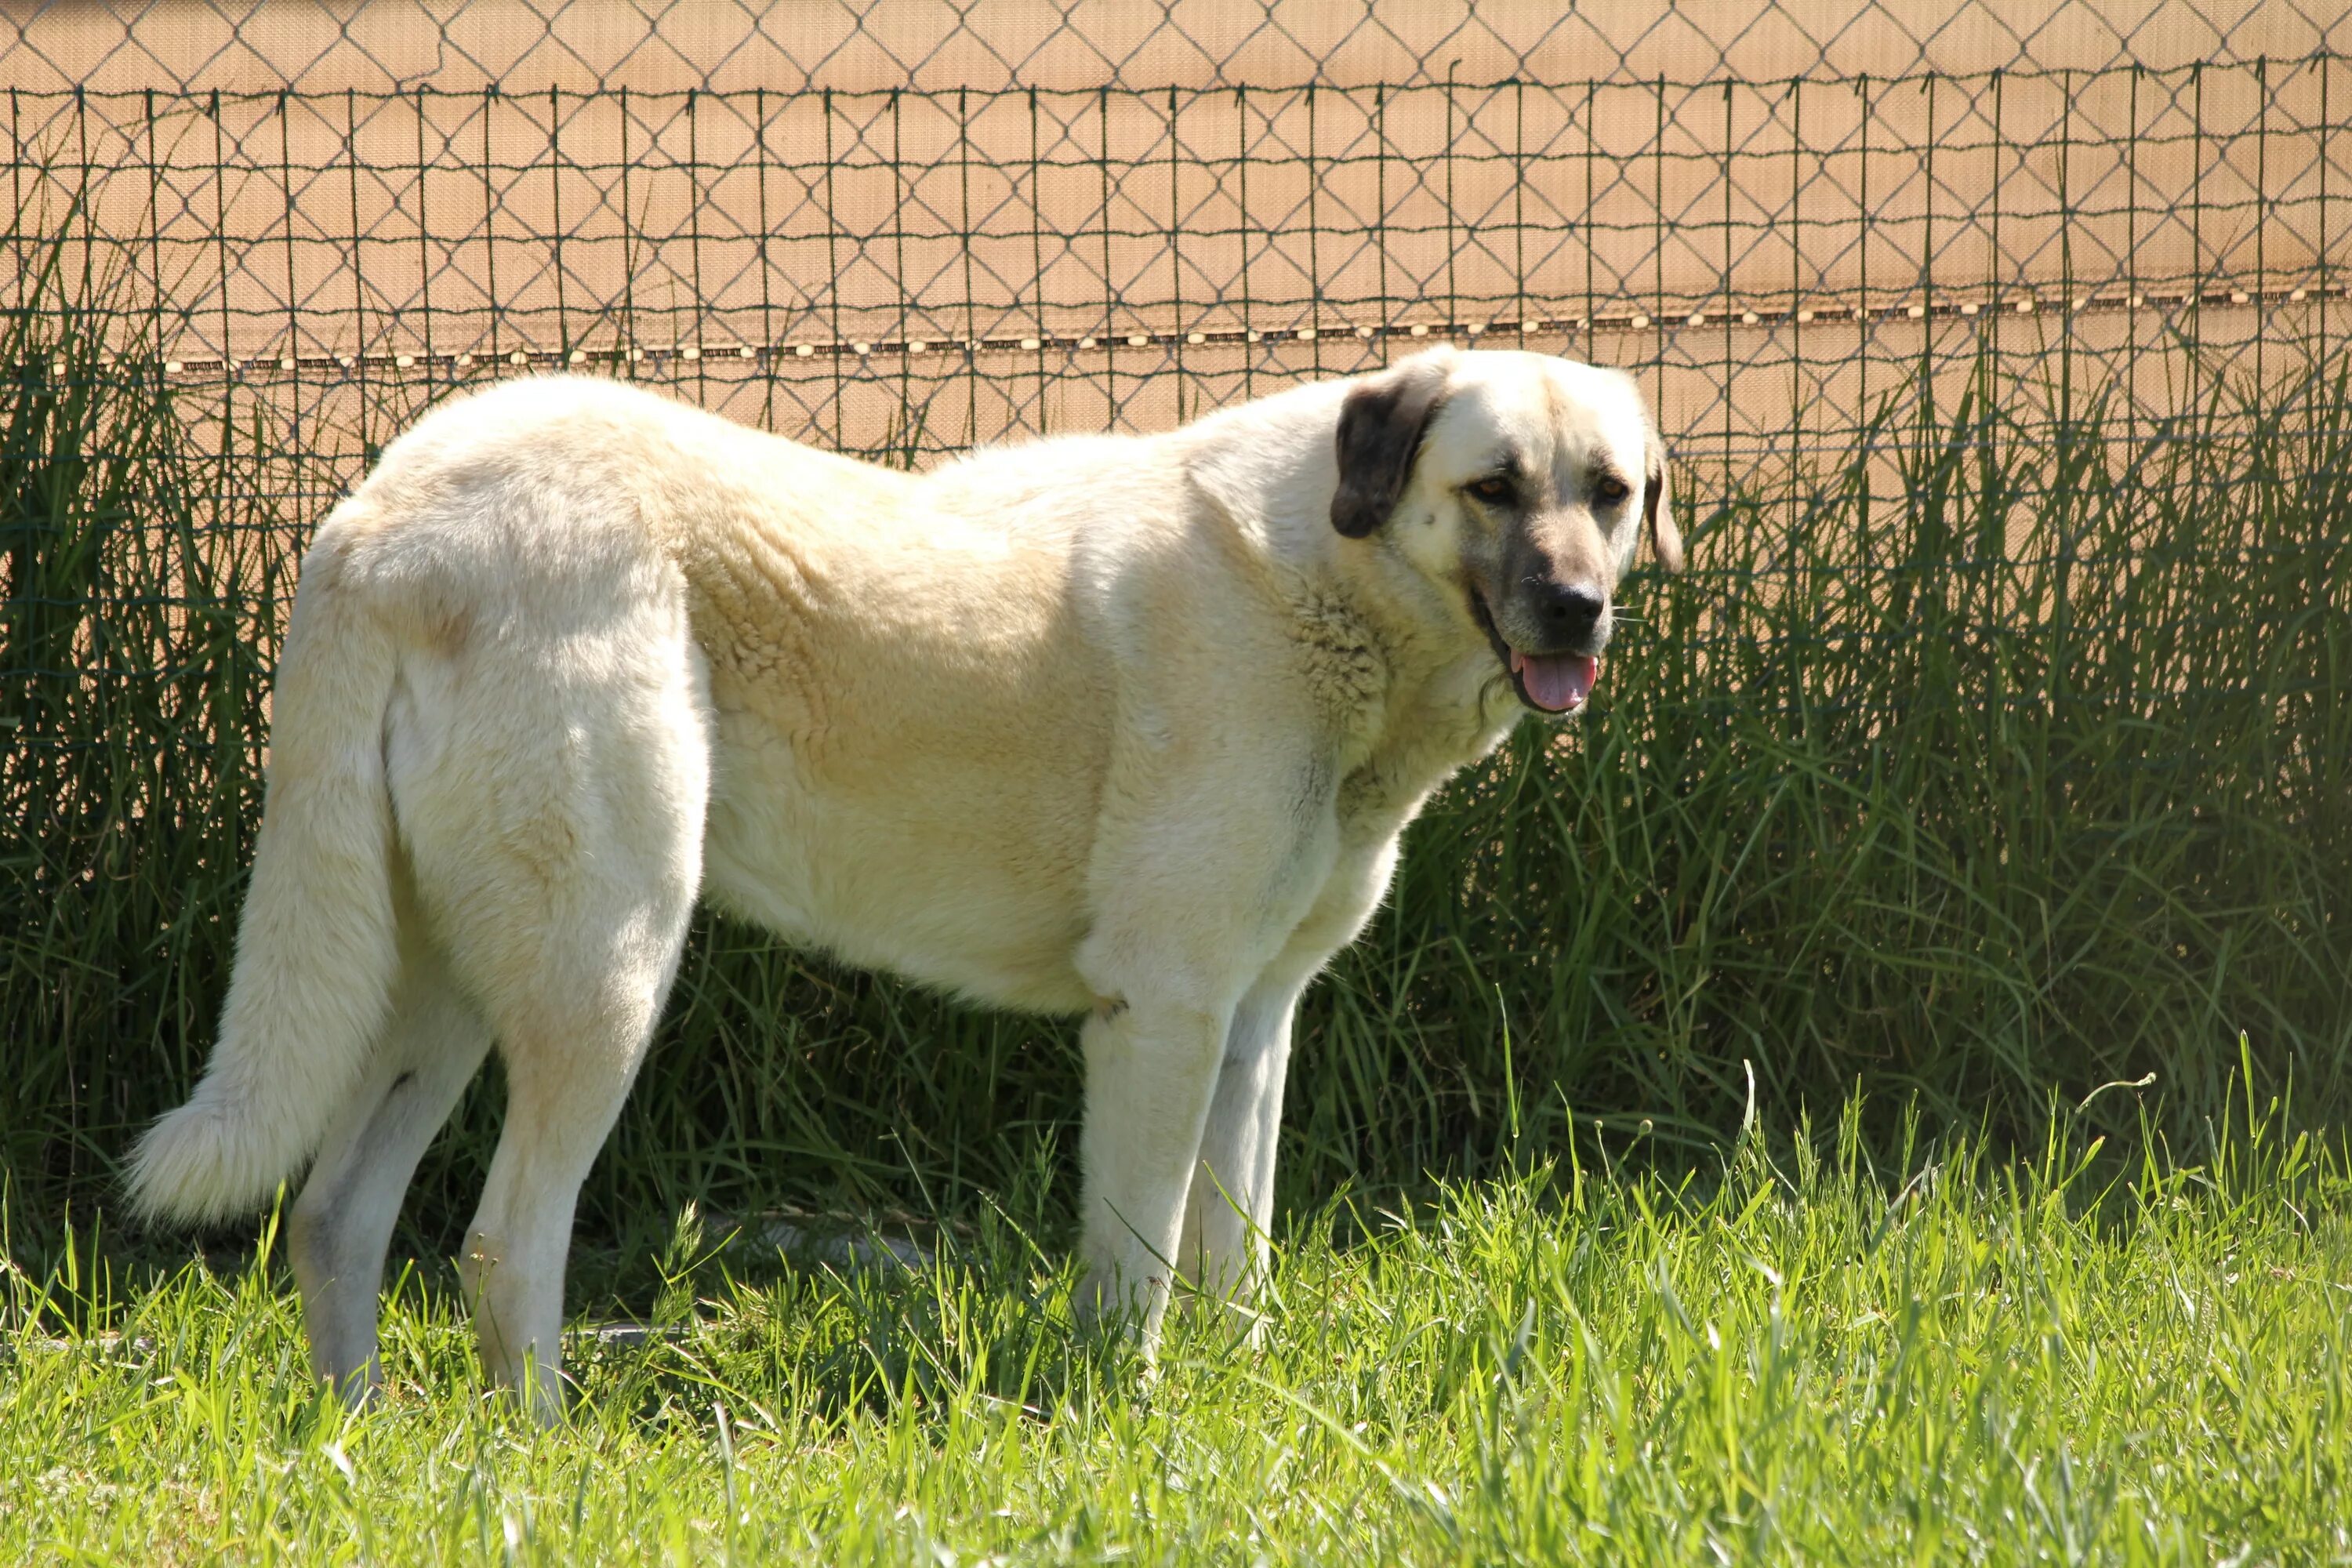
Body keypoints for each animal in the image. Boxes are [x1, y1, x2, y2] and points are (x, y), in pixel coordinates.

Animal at [129, 350, 1684, 1420]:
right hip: (606, 967)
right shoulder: (1163, 1015)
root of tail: (378, 515)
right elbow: (1136, 1266)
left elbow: (1229, 1255)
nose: (1578, 610)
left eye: (1611, 495)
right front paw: (1130, 1420)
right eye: (1492, 488)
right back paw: (544, 1462)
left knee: (336, 1218)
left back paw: (363, 1445)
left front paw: (1242, 1401)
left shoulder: (1252, 1025)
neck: (1331, 578)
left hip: (449, 982)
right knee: (504, 1245)